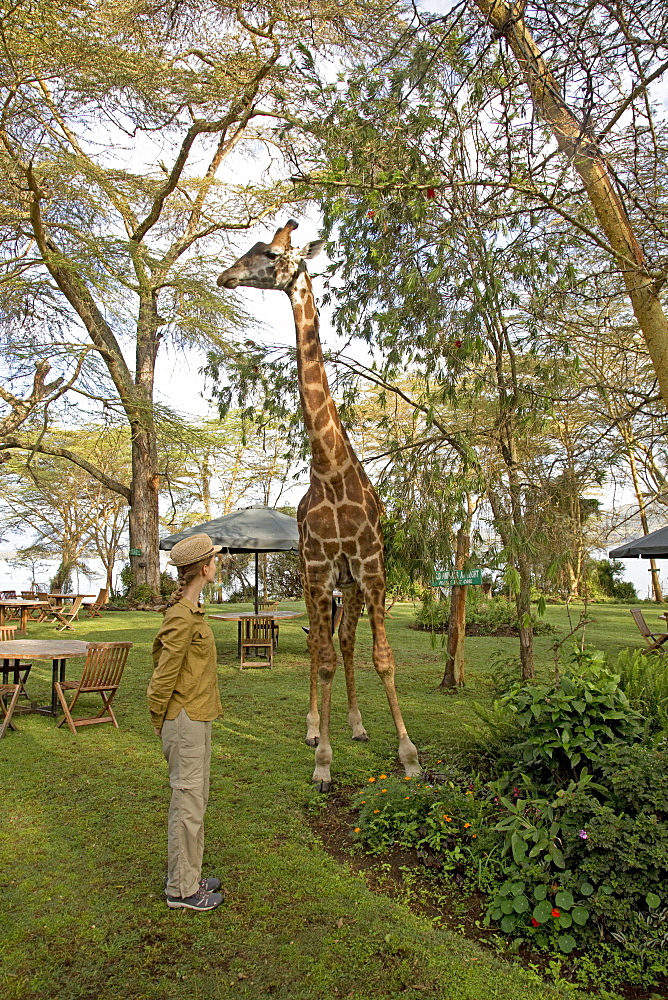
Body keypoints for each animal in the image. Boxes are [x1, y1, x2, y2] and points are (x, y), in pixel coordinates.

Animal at [217, 217, 420, 788]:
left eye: (269, 253)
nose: (225, 276)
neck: (330, 472)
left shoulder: (371, 568)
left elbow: (382, 657)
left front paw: (408, 755)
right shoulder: (317, 569)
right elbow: (323, 656)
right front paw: (323, 760)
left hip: (348, 585)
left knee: (346, 642)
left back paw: (356, 724)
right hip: (318, 581)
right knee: (318, 645)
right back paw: (315, 728)